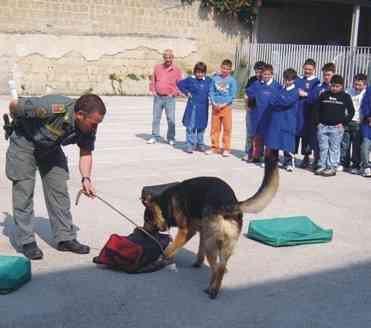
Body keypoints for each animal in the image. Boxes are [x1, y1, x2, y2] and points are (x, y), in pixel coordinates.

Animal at [142, 153, 280, 298]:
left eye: (146, 219)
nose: (142, 230)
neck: (165, 203)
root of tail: (229, 203)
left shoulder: (187, 231)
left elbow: (171, 248)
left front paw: (163, 258)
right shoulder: (202, 231)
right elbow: (198, 249)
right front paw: (197, 262)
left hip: (212, 244)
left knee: (215, 268)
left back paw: (211, 289)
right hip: (224, 244)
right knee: (221, 267)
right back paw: (215, 288)